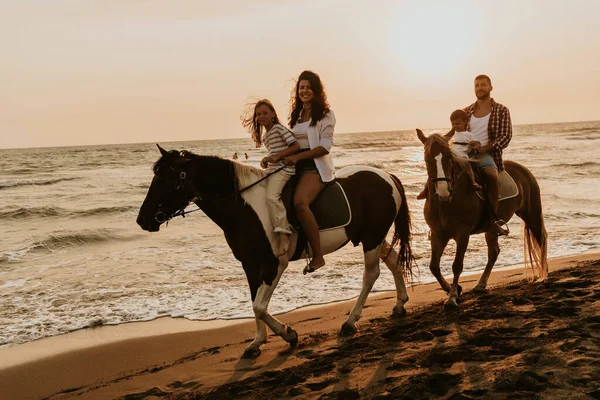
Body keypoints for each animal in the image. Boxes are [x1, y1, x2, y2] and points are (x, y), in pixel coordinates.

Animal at [138, 145, 414, 358]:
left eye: (163, 180)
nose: (142, 220)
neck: (245, 208)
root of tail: (387, 175)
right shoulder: (250, 265)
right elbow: (254, 302)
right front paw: (256, 343)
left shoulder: (274, 264)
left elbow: (260, 306)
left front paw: (288, 334)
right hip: (371, 236)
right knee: (393, 261)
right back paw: (399, 304)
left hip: (372, 238)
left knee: (371, 275)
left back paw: (350, 322)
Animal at [418, 130, 548, 308]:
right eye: (426, 159)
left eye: (449, 157)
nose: (443, 193)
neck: (448, 202)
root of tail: (524, 170)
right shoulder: (438, 234)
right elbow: (434, 266)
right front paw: (453, 289)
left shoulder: (463, 234)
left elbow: (457, 265)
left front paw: (452, 297)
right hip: (491, 229)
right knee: (494, 252)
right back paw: (480, 284)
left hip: (532, 214)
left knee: (541, 238)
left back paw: (545, 274)